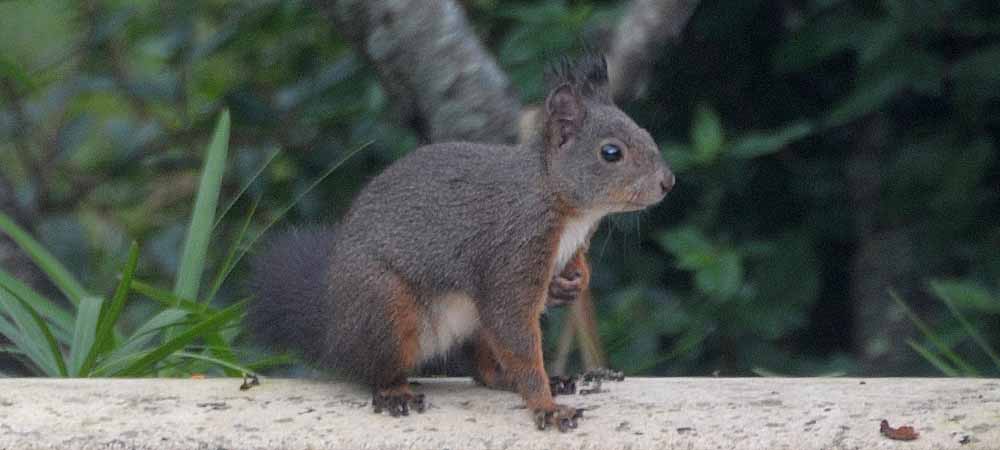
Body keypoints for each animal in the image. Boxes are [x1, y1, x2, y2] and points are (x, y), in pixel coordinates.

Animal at [246, 53, 674, 432]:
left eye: (647, 134)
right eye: (611, 153)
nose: (668, 182)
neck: (560, 200)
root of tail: (335, 335)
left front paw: (574, 281)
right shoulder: (513, 250)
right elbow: (516, 332)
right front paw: (546, 407)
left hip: (471, 325)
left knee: (483, 370)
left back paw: (525, 378)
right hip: (385, 307)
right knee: (376, 369)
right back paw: (395, 392)